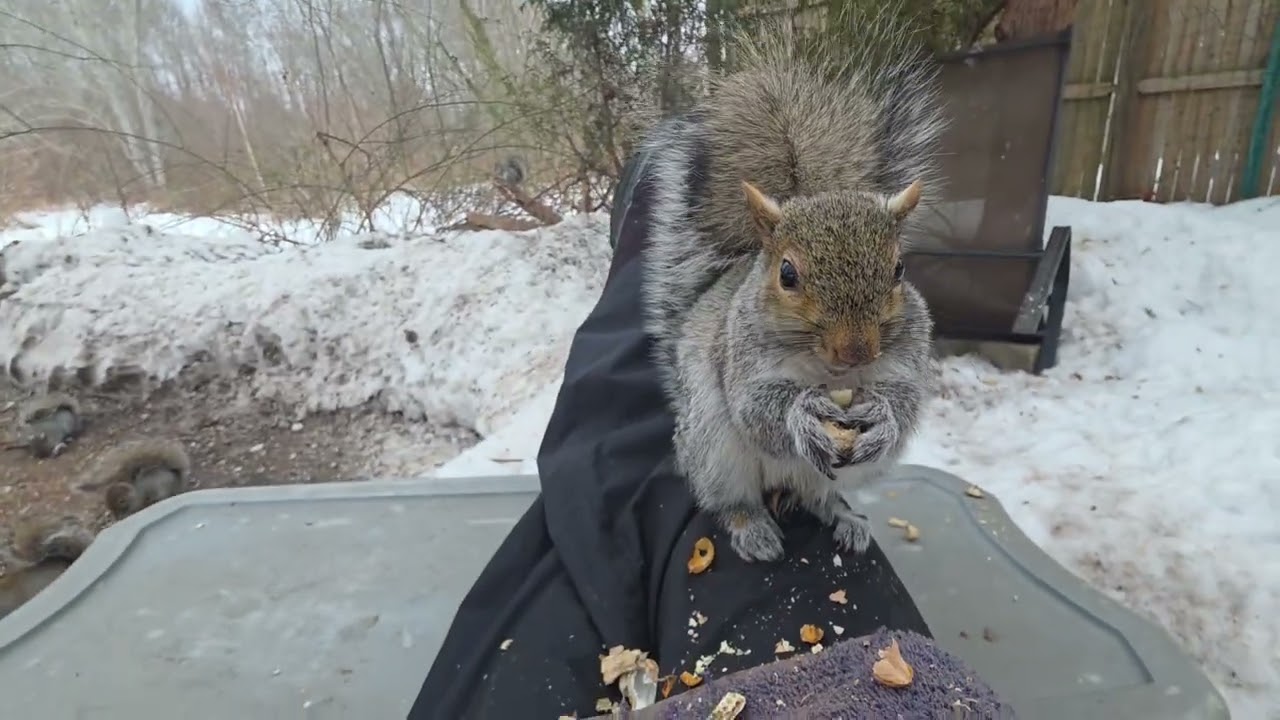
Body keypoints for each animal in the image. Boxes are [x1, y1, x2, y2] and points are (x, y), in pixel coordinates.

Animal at [637, 13, 944, 563]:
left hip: (833, 474)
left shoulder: (907, 355)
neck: (829, 374)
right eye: (787, 274)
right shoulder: (739, 357)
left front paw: (884, 416)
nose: (856, 351)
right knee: (730, 497)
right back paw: (751, 526)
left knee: (817, 494)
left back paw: (843, 516)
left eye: (899, 269)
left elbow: (906, 400)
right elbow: (758, 409)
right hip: (715, 452)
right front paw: (801, 413)